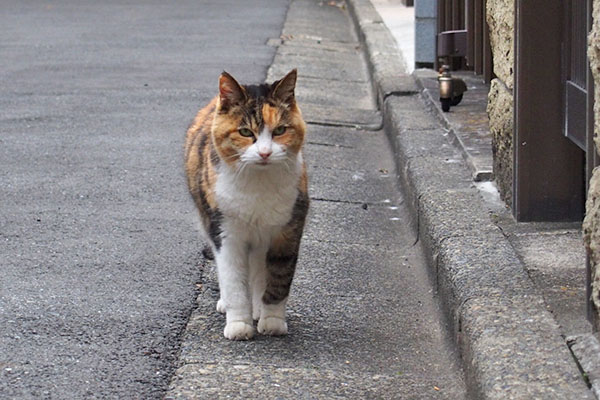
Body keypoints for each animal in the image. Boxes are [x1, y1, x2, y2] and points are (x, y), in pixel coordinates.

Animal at [185, 69, 310, 340]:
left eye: (280, 130)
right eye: (245, 132)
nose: (264, 153)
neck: (257, 186)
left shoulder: (288, 230)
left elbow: (278, 278)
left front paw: (272, 321)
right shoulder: (225, 232)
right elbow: (233, 281)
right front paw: (239, 325)